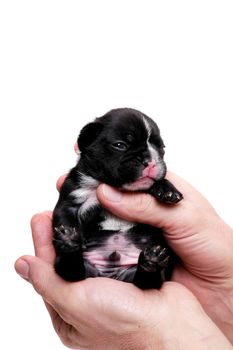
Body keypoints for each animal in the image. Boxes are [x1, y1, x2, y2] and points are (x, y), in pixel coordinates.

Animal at [52, 108, 182, 288]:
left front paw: (167, 190)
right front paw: (68, 236)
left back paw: (152, 261)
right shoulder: (72, 198)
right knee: (71, 271)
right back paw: (68, 244)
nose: (151, 161)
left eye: (161, 147)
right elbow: (65, 217)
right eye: (120, 145)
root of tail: (110, 275)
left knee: (148, 282)